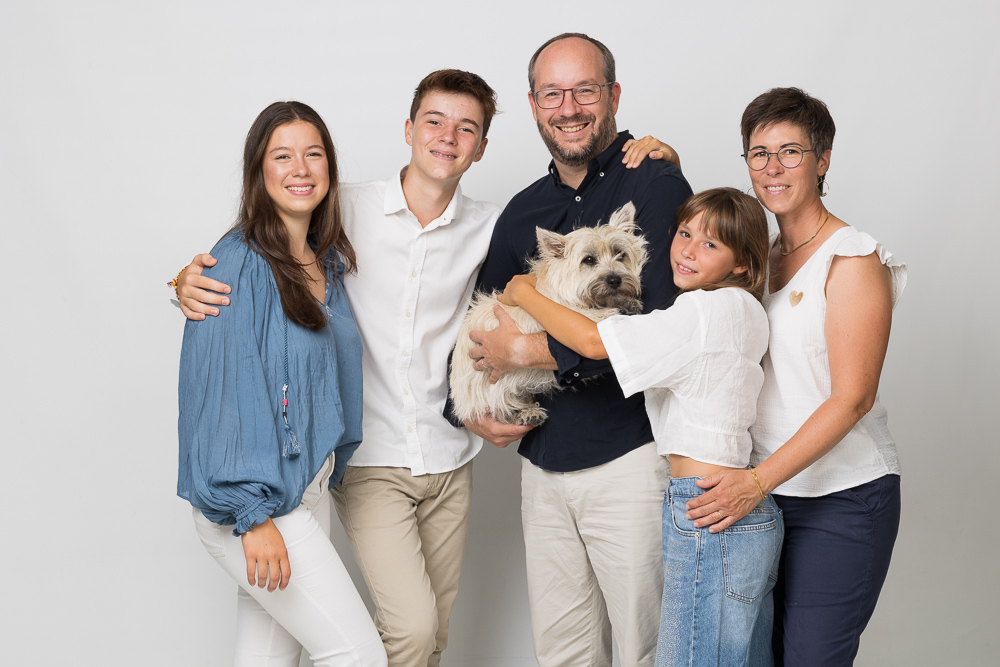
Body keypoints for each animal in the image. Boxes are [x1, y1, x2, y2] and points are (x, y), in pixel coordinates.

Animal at [452, 201, 648, 426]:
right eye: (589, 260)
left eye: (620, 254)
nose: (615, 280)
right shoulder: (564, 315)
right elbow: (590, 316)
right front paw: (612, 310)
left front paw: (628, 303)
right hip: (489, 390)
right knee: (497, 408)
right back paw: (524, 414)